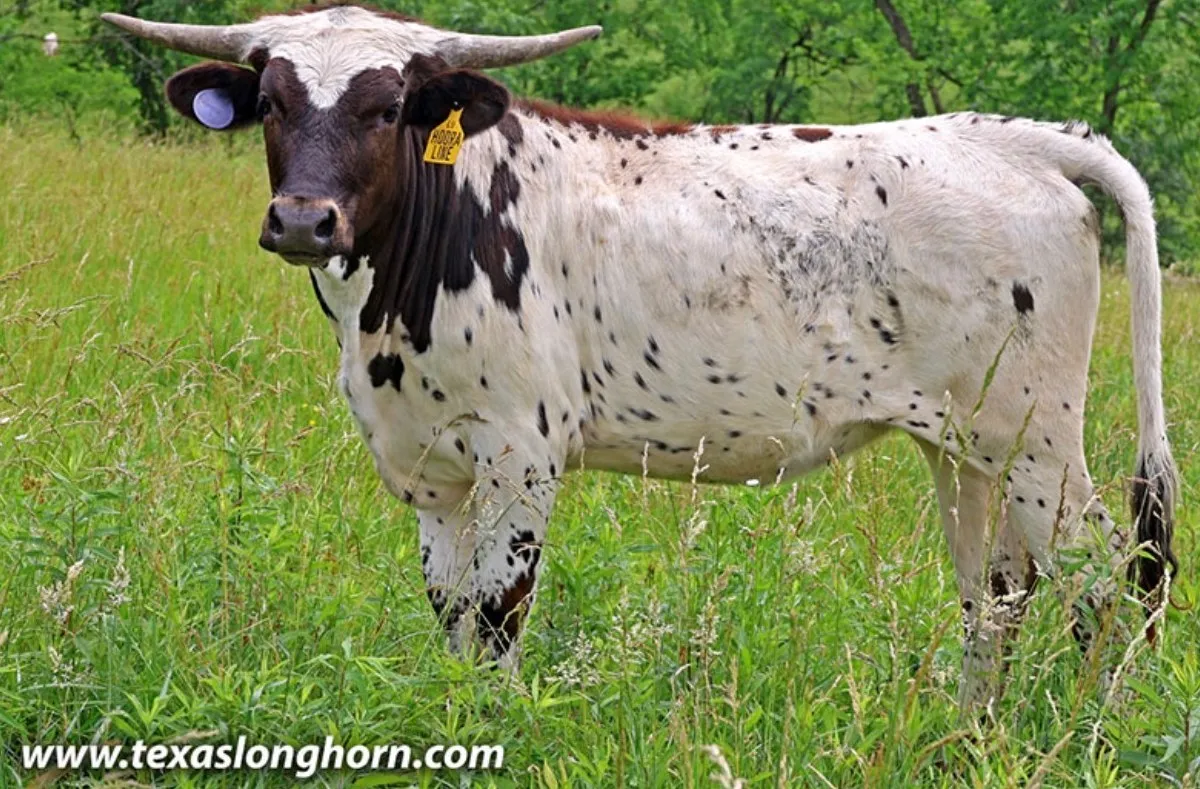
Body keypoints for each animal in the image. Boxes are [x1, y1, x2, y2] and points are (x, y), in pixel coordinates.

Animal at [104, 4, 1177, 712]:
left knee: (1102, 578)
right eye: (274, 102)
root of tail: (1016, 142)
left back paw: (1093, 733)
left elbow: (499, 612)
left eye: (386, 106)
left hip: (1037, 441)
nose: (303, 219)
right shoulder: (426, 467)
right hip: (960, 445)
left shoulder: (520, 454)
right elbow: (450, 613)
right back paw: (970, 737)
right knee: (995, 592)